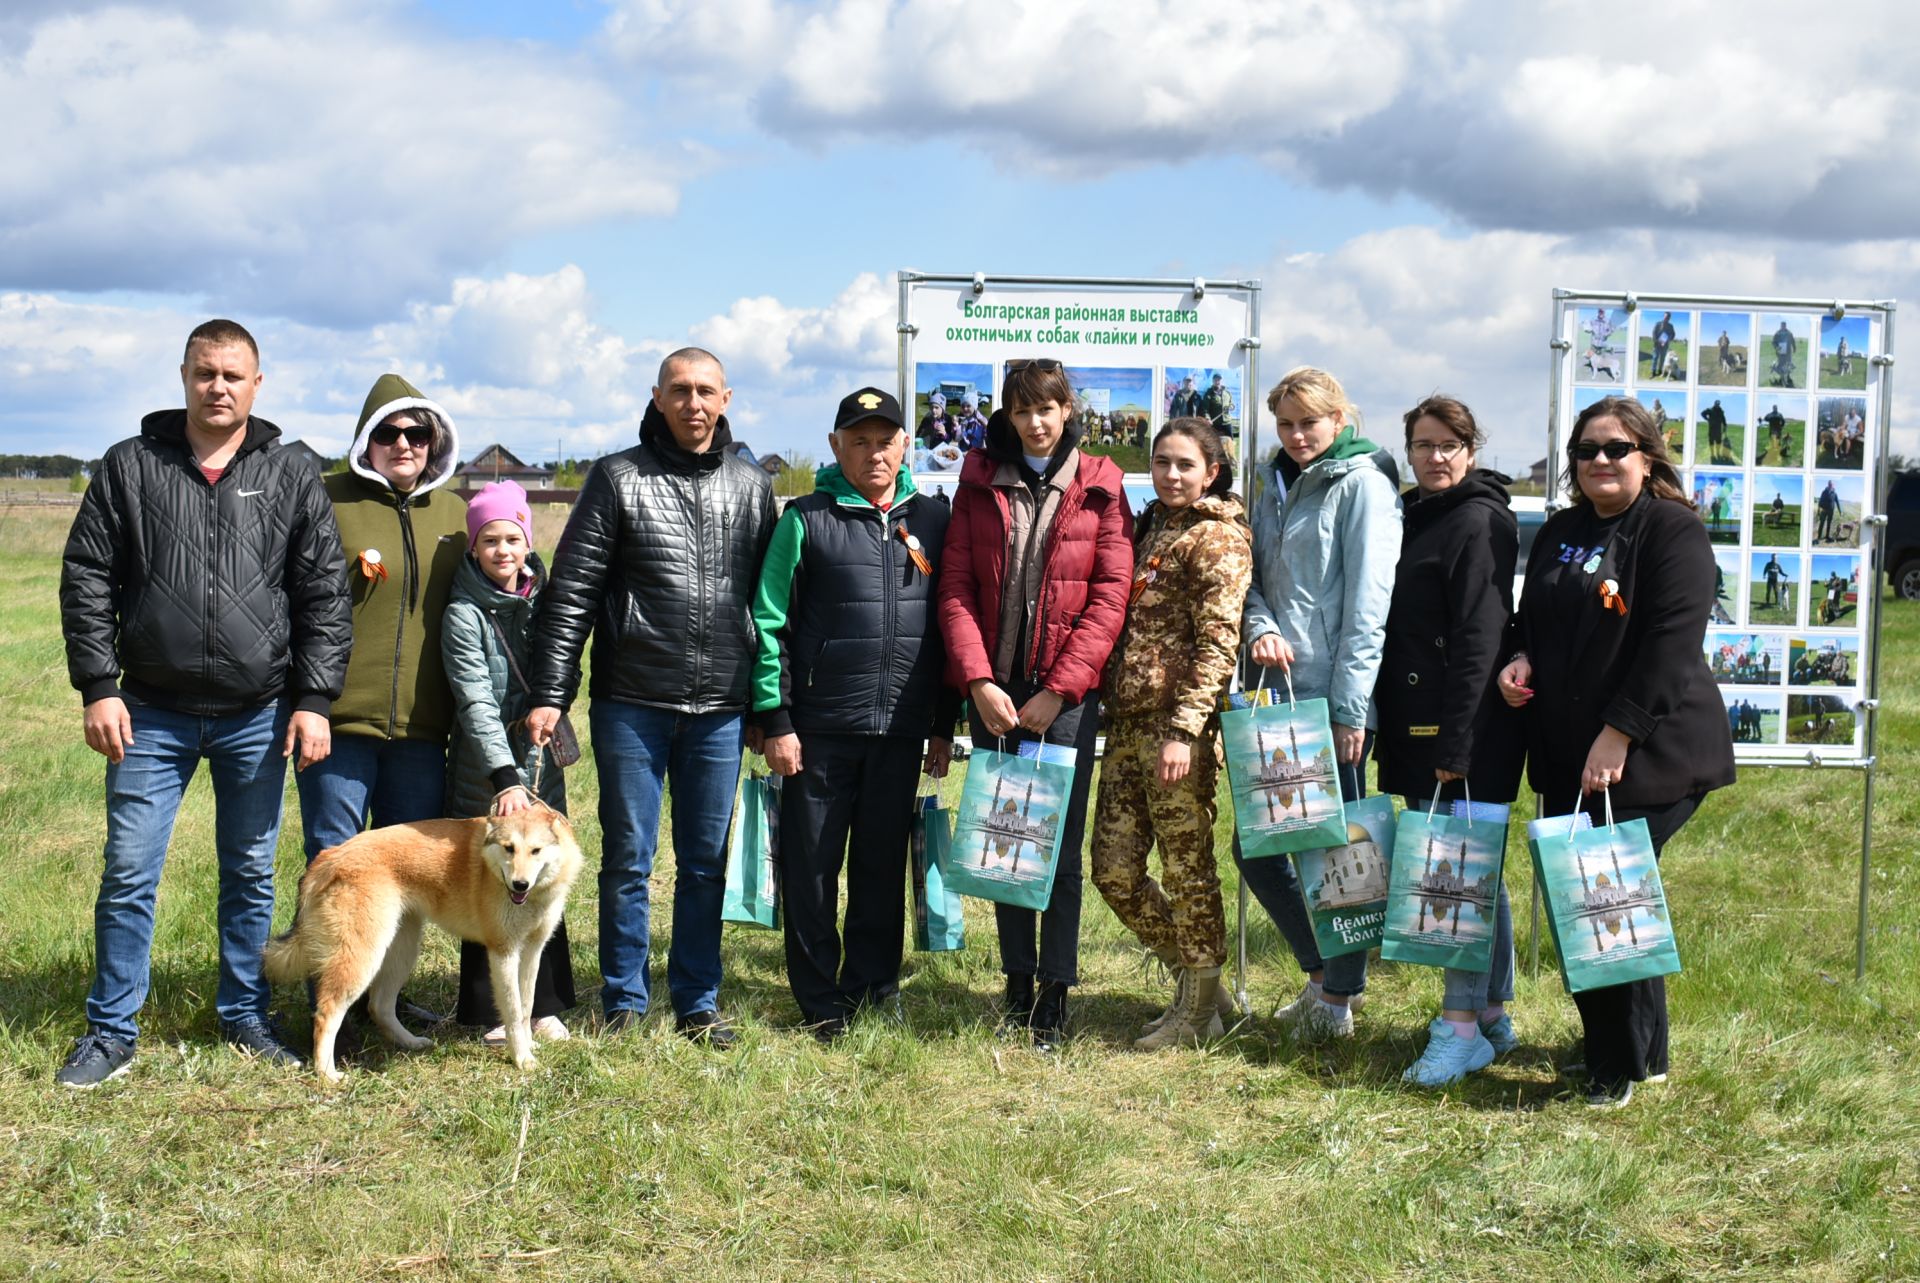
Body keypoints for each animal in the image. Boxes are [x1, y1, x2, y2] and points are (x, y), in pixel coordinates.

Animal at [263, 806, 579, 1075]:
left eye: (536, 850)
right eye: (508, 848)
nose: (519, 885)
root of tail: (328, 858)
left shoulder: (532, 951)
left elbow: (526, 1007)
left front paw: (528, 1045)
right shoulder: (503, 952)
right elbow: (513, 1011)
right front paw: (522, 1058)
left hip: (401, 951)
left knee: (379, 1006)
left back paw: (411, 1042)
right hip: (363, 957)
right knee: (326, 1013)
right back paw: (327, 1074)